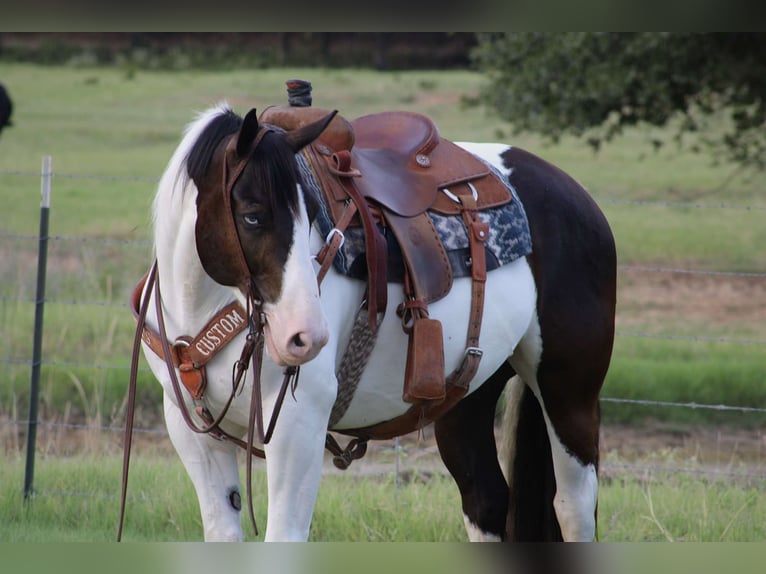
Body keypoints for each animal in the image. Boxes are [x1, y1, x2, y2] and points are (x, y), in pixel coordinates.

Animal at [124, 99, 616, 544]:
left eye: (311, 217)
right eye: (252, 216)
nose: (307, 337)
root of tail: (577, 198)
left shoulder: (297, 426)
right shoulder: (193, 431)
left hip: (568, 393)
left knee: (573, 506)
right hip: (467, 399)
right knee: (486, 501)